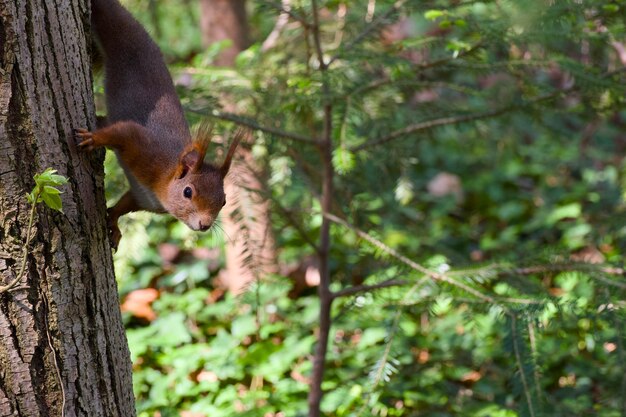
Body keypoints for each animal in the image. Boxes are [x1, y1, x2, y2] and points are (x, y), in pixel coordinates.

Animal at [75, 0, 236, 245]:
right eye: (187, 192)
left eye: (224, 201)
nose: (205, 225)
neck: (165, 178)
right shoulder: (146, 150)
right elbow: (125, 131)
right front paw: (93, 139)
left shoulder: (144, 198)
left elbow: (124, 204)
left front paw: (114, 223)